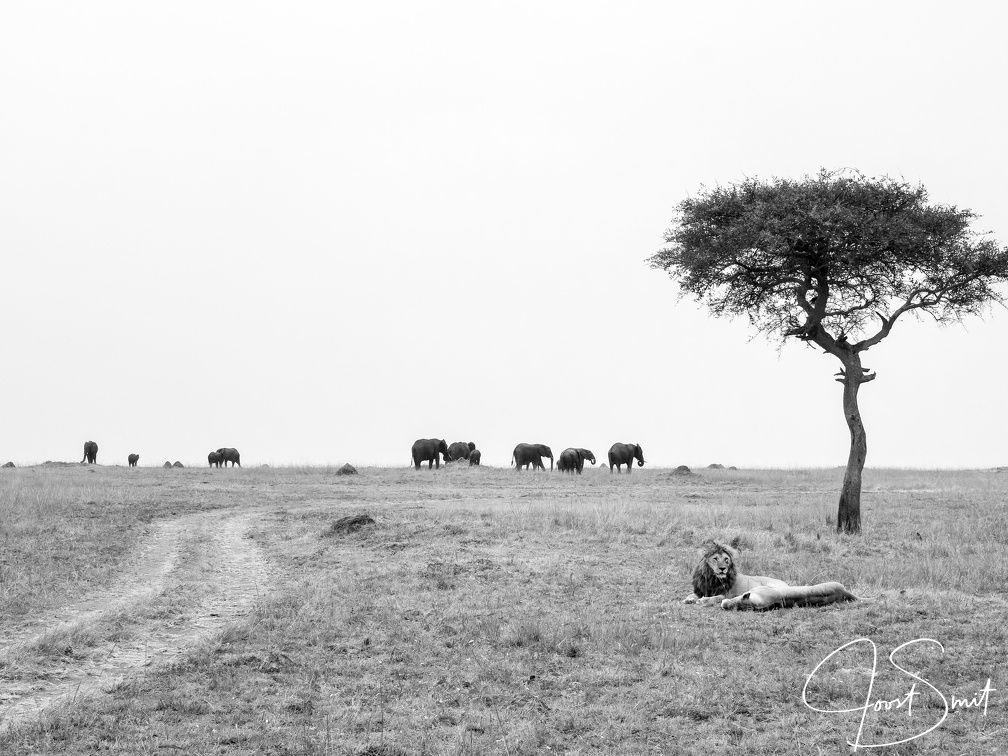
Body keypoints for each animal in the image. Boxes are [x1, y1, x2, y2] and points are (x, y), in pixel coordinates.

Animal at [683, 539, 858, 611]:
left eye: (726, 559)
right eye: (715, 558)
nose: (722, 569)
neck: (713, 579)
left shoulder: (727, 593)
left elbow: (716, 597)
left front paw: (703, 601)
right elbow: (691, 595)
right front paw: (688, 599)